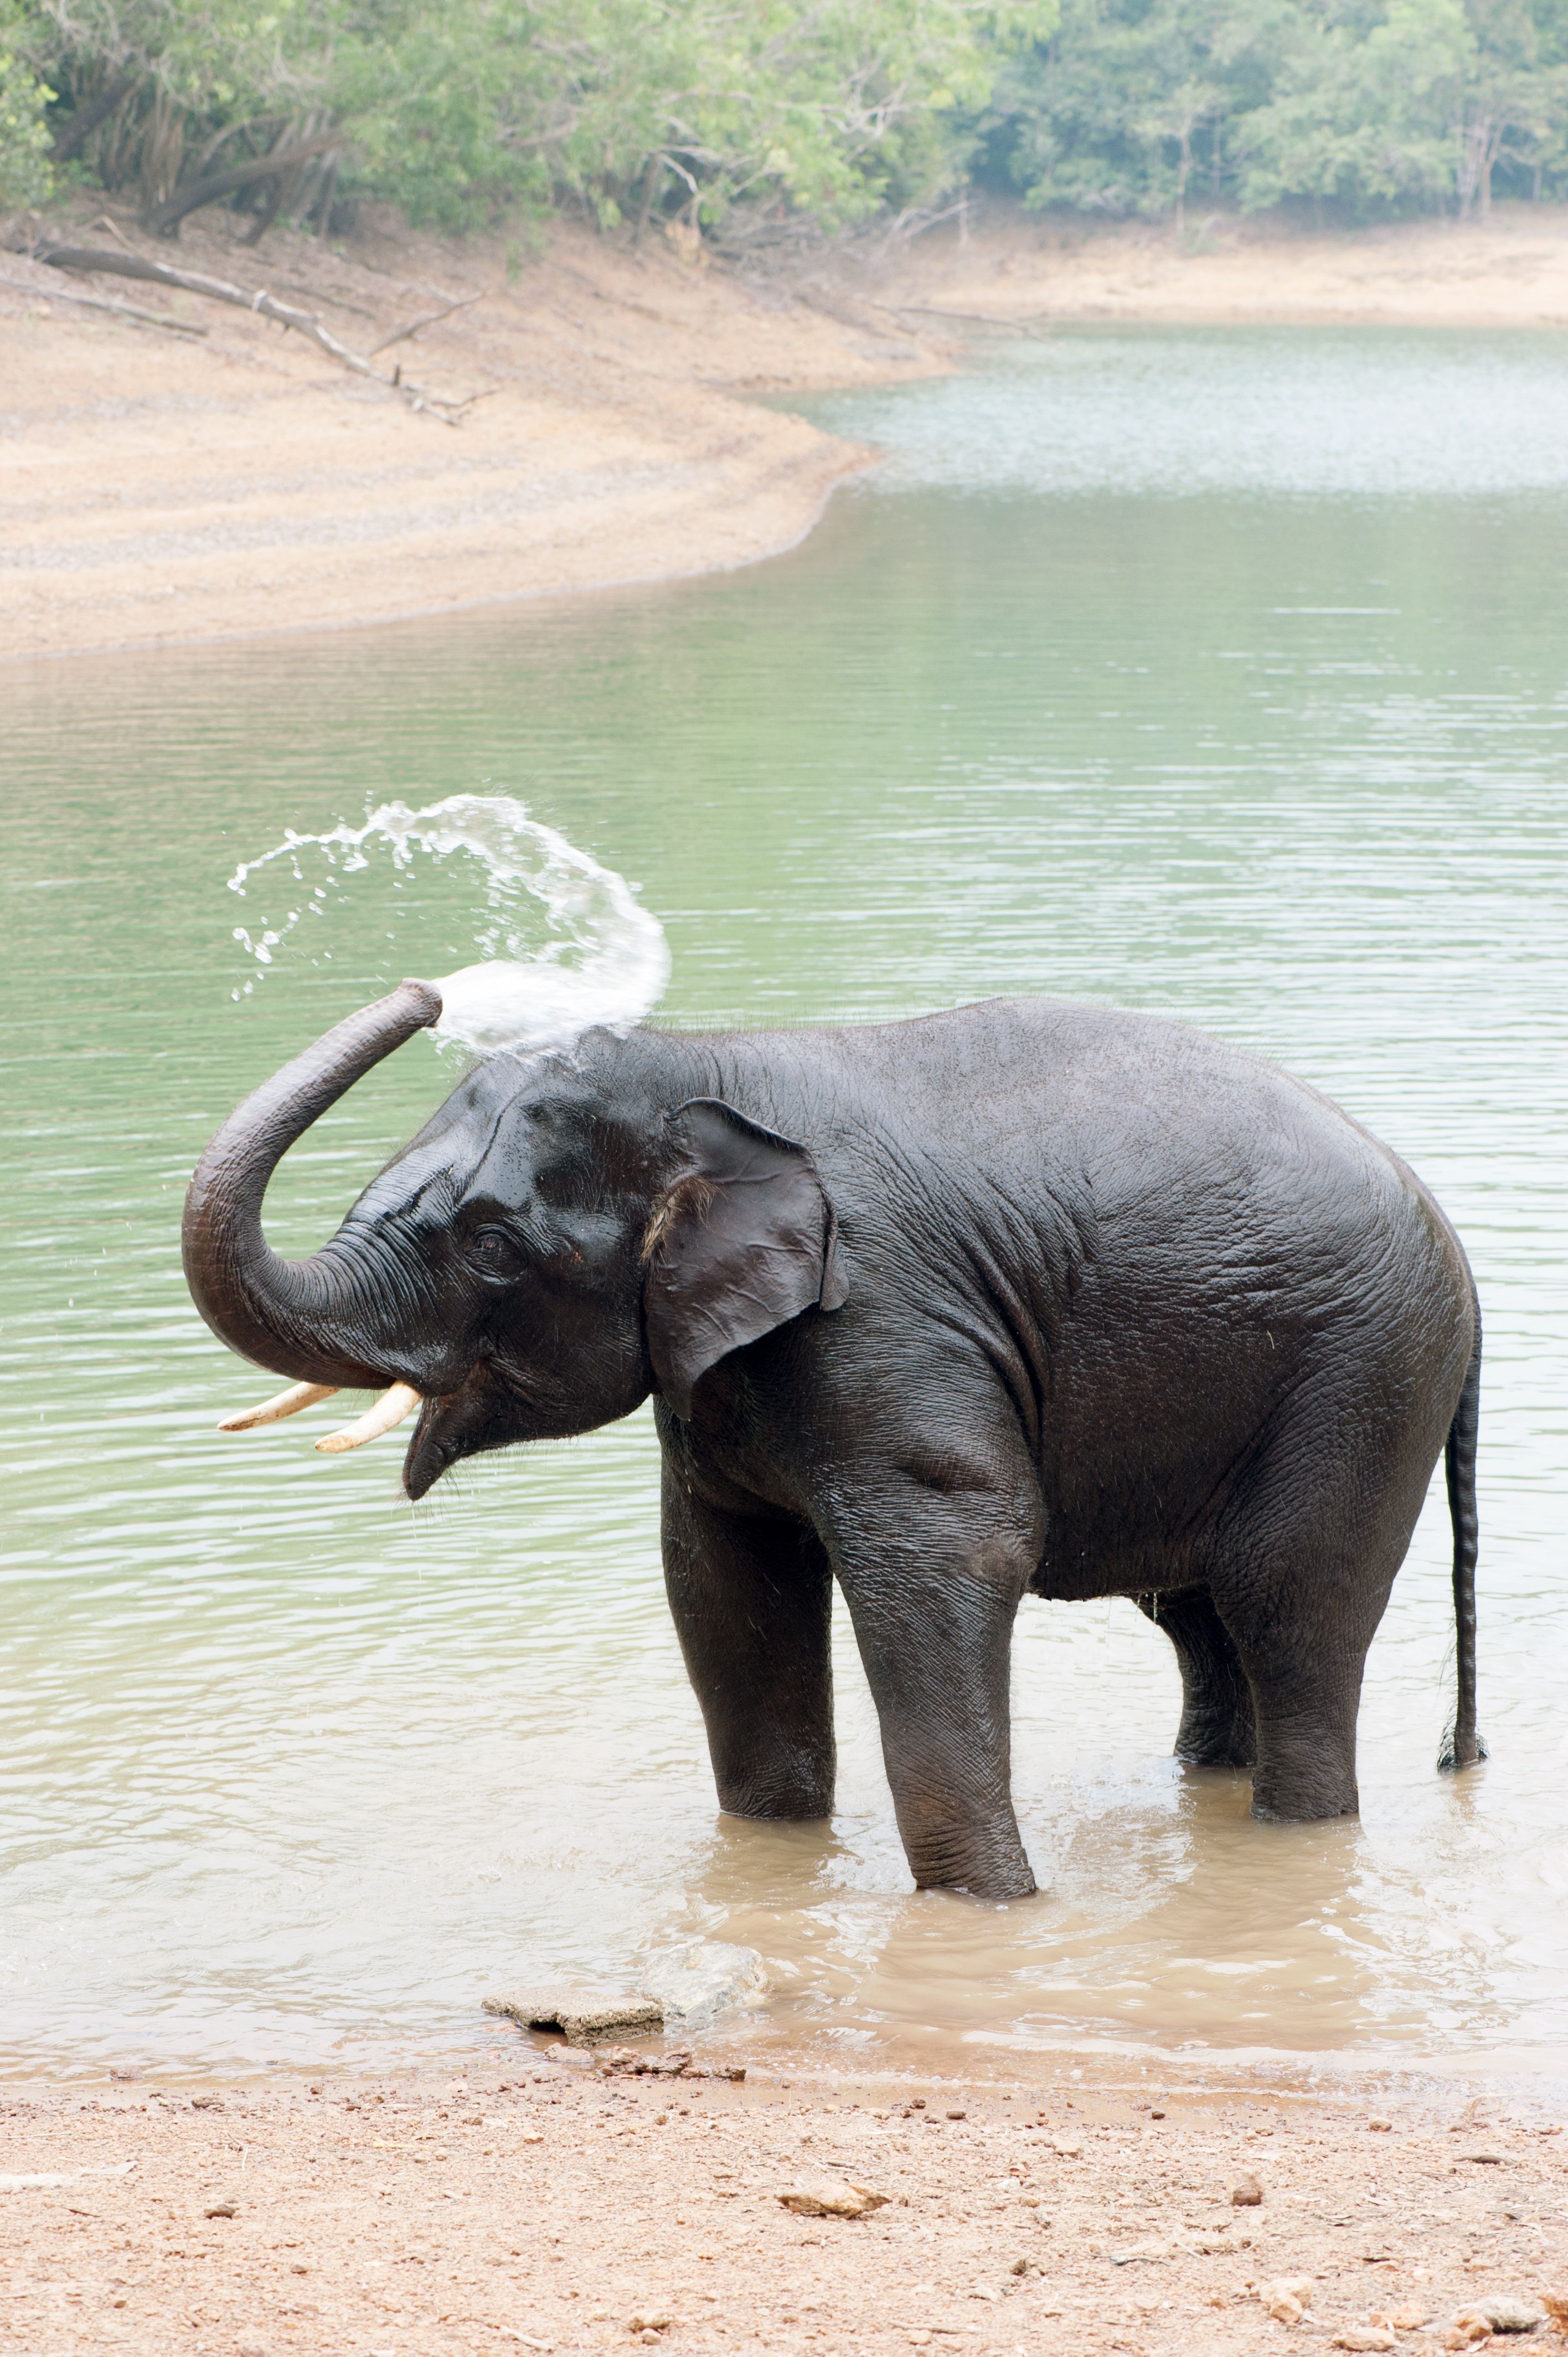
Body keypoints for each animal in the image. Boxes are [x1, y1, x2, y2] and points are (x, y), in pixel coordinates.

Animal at [184, 979, 1483, 1902]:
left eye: (493, 1246)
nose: (428, 989)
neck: (707, 1062)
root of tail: (1457, 1248)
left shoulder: (888, 1313)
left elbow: (956, 1555)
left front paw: (990, 1912)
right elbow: (721, 1582)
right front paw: (773, 1858)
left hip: (1361, 1375)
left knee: (1289, 1610)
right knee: (1198, 1620)